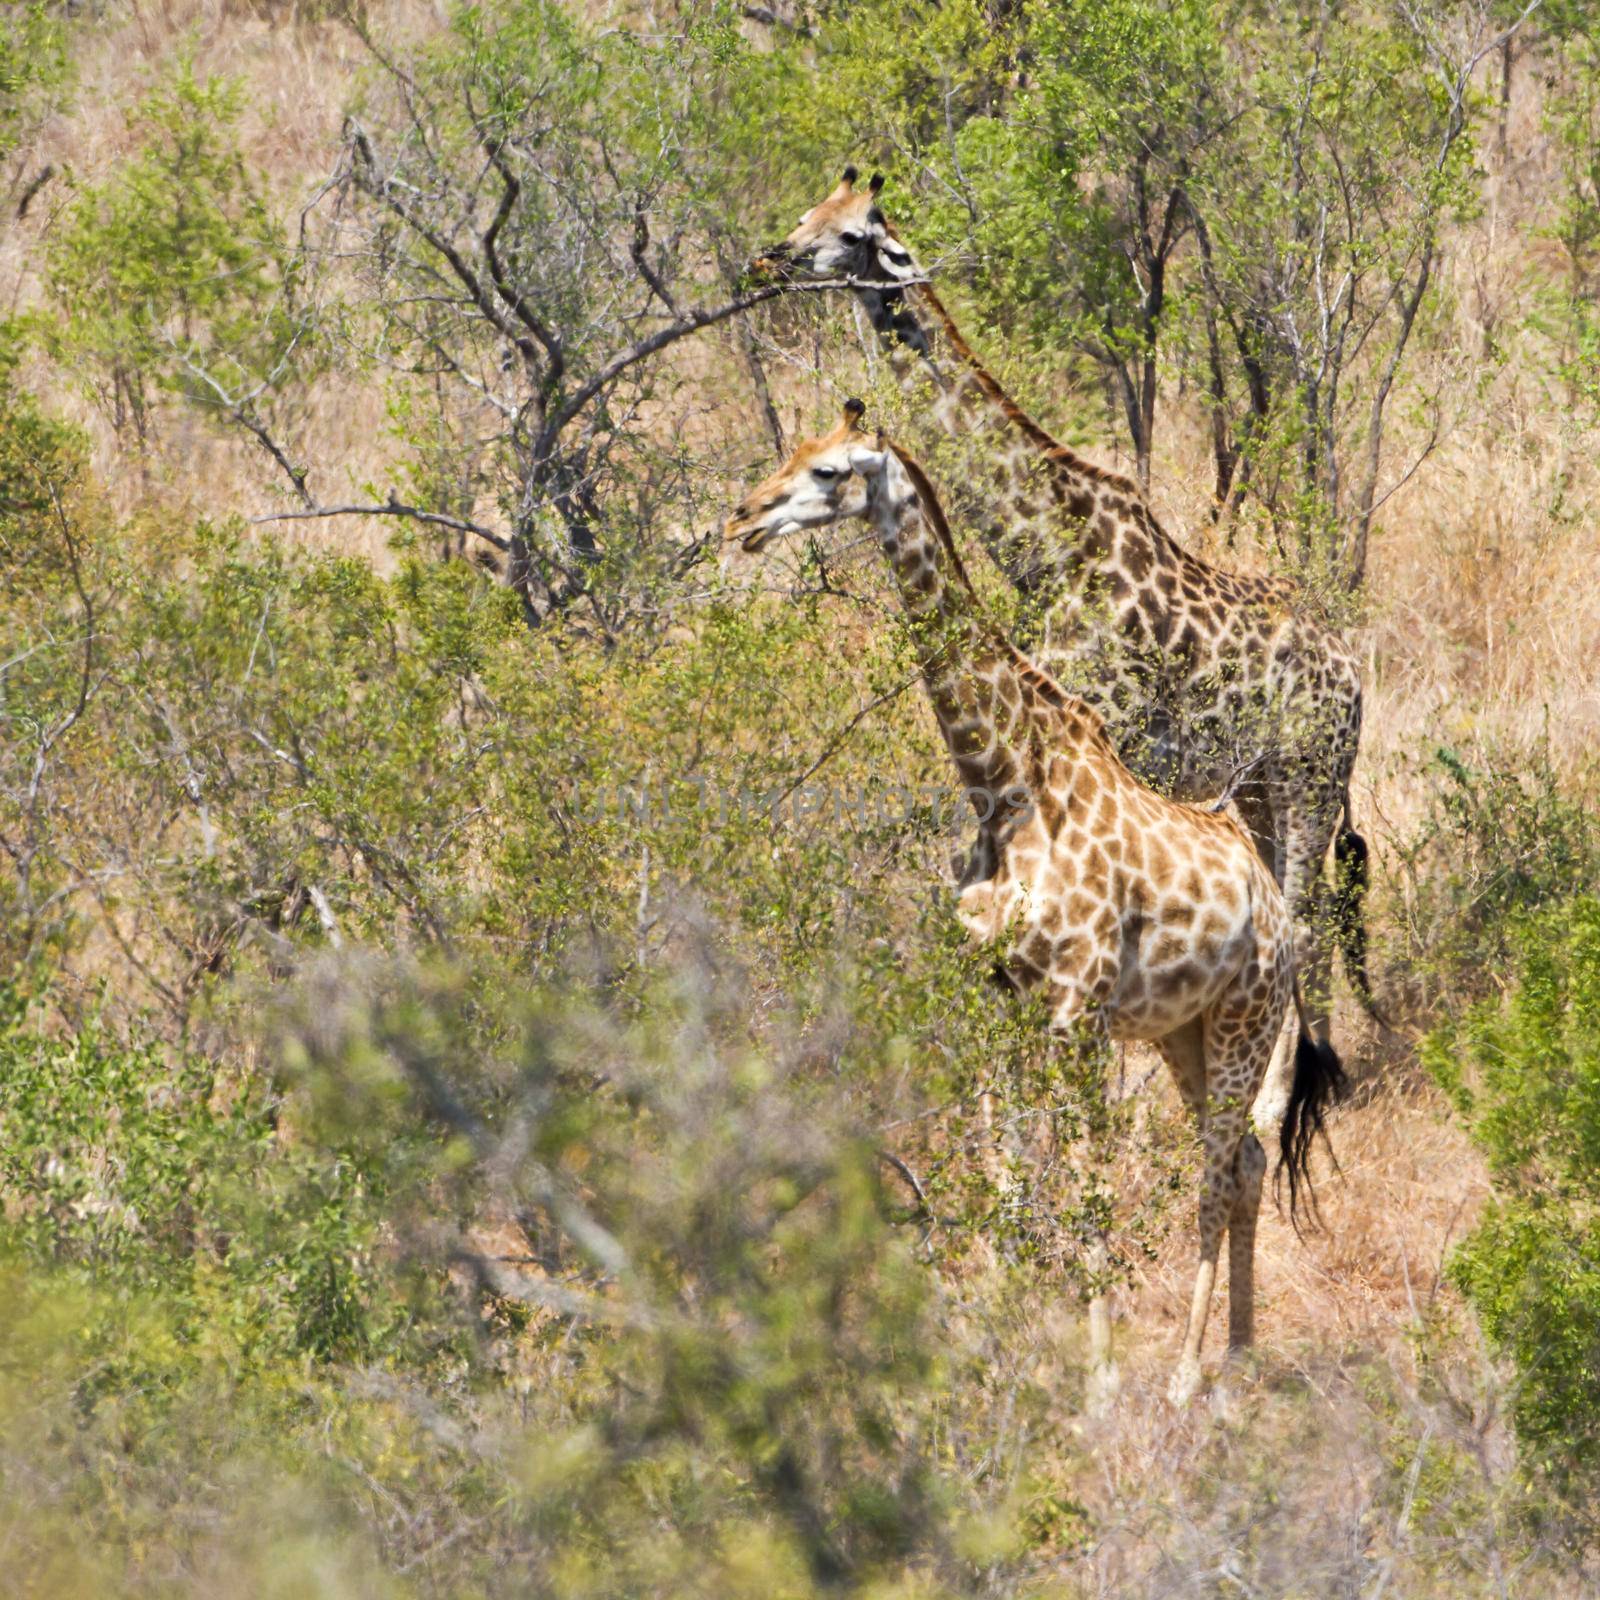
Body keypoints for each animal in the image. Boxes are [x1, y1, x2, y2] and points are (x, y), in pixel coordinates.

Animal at [729, 406, 1350, 1408]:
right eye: (787, 454)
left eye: (827, 472)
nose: (744, 519)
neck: (1004, 785)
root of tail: (1274, 912)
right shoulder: (997, 1002)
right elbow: (1014, 1173)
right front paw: (1001, 1342)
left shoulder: (1077, 1011)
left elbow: (1087, 1181)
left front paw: (1095, 1379)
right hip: (1184, 1030)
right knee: (1246, 1162)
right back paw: (1238, 1355)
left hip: (1246, 1017)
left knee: (1218, 1169)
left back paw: (1186, 1377)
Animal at [748, 172, 1376, 1126]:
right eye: (808, 212)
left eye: (852, 234)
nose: (771, 259)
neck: (1041, 544)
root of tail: (1355, 674)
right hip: (1264, 785)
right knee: (1303, 909)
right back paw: (1308, 1078)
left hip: (1313, 773)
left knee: (1308, 916)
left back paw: (1275, 1102)